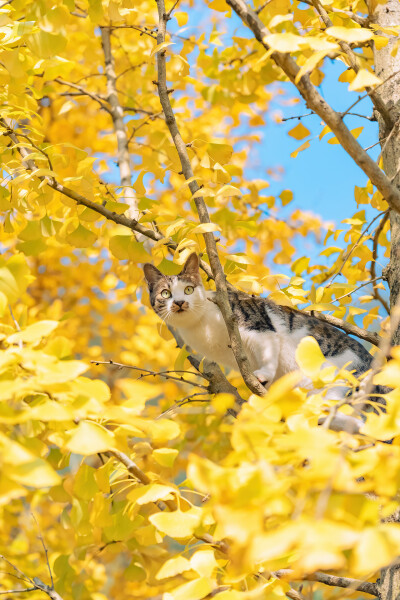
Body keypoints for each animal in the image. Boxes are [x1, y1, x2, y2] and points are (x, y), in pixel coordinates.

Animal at [144, 251, 388, 414]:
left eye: (188, 289)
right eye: (165, 293)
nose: (179, 302)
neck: (200, 326)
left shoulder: (259, 326)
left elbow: (269, 354)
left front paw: (263, 375)